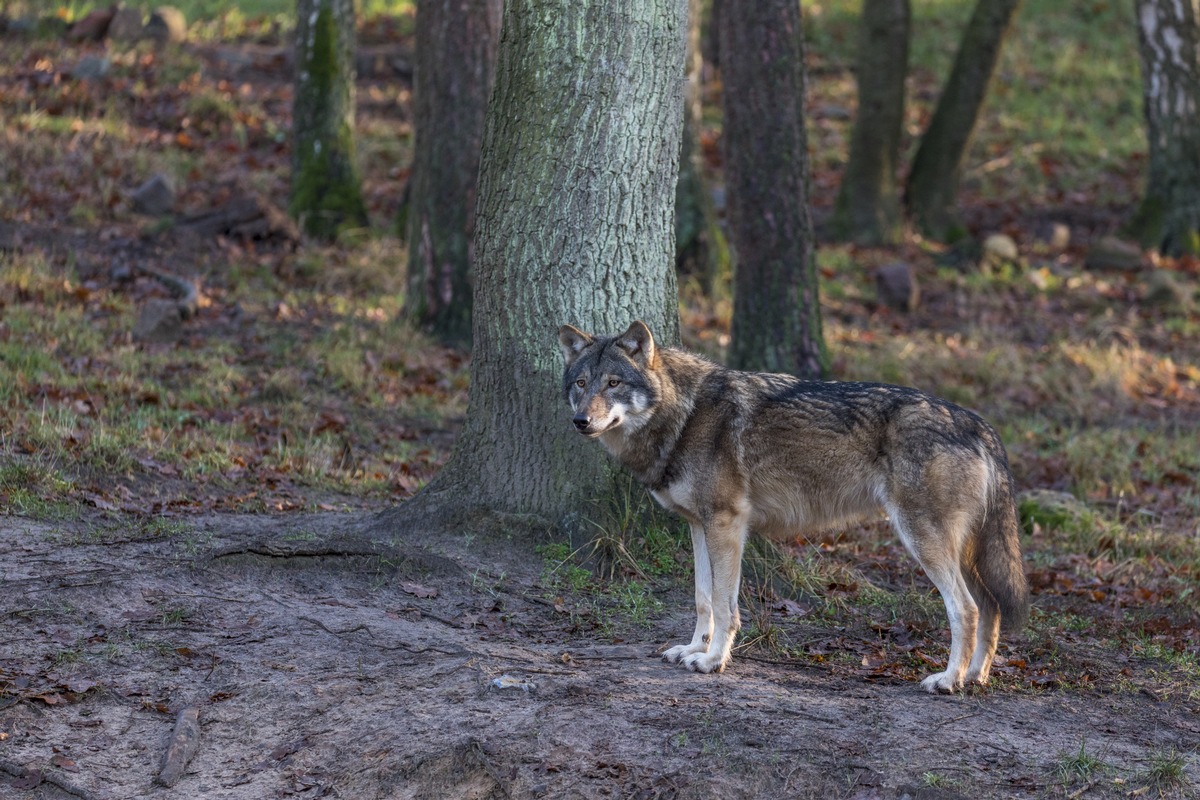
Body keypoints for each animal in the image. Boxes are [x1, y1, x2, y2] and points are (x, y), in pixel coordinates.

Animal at [556, 321, 1027, 695]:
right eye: (581, 383)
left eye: (613, 383)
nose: (580, 421)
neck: (683, 416)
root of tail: (977, 423)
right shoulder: (699, 525)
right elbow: (703, 597)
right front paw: (693, 649)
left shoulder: (726, 524)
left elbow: (725, 605)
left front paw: (713, 661)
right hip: (962, 552)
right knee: (991, 607)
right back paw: (976, 677)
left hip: (923, 541)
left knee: (966, 609)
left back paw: (948, 680)